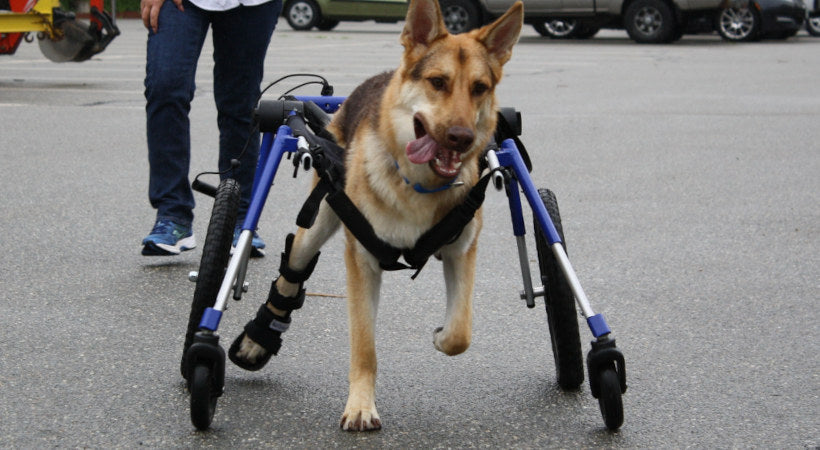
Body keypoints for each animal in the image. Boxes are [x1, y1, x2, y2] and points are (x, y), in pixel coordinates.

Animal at [229, 0, 524, 430]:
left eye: (479, 88)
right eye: (438, 82)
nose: (461, 138)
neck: (419, 186)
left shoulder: (461, 253)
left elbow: (460, 333)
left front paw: (441, 335)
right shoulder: (362, 263)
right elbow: (364, 346)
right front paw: (360, 406)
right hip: (315, 226)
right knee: (290, 275)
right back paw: (257, 339)